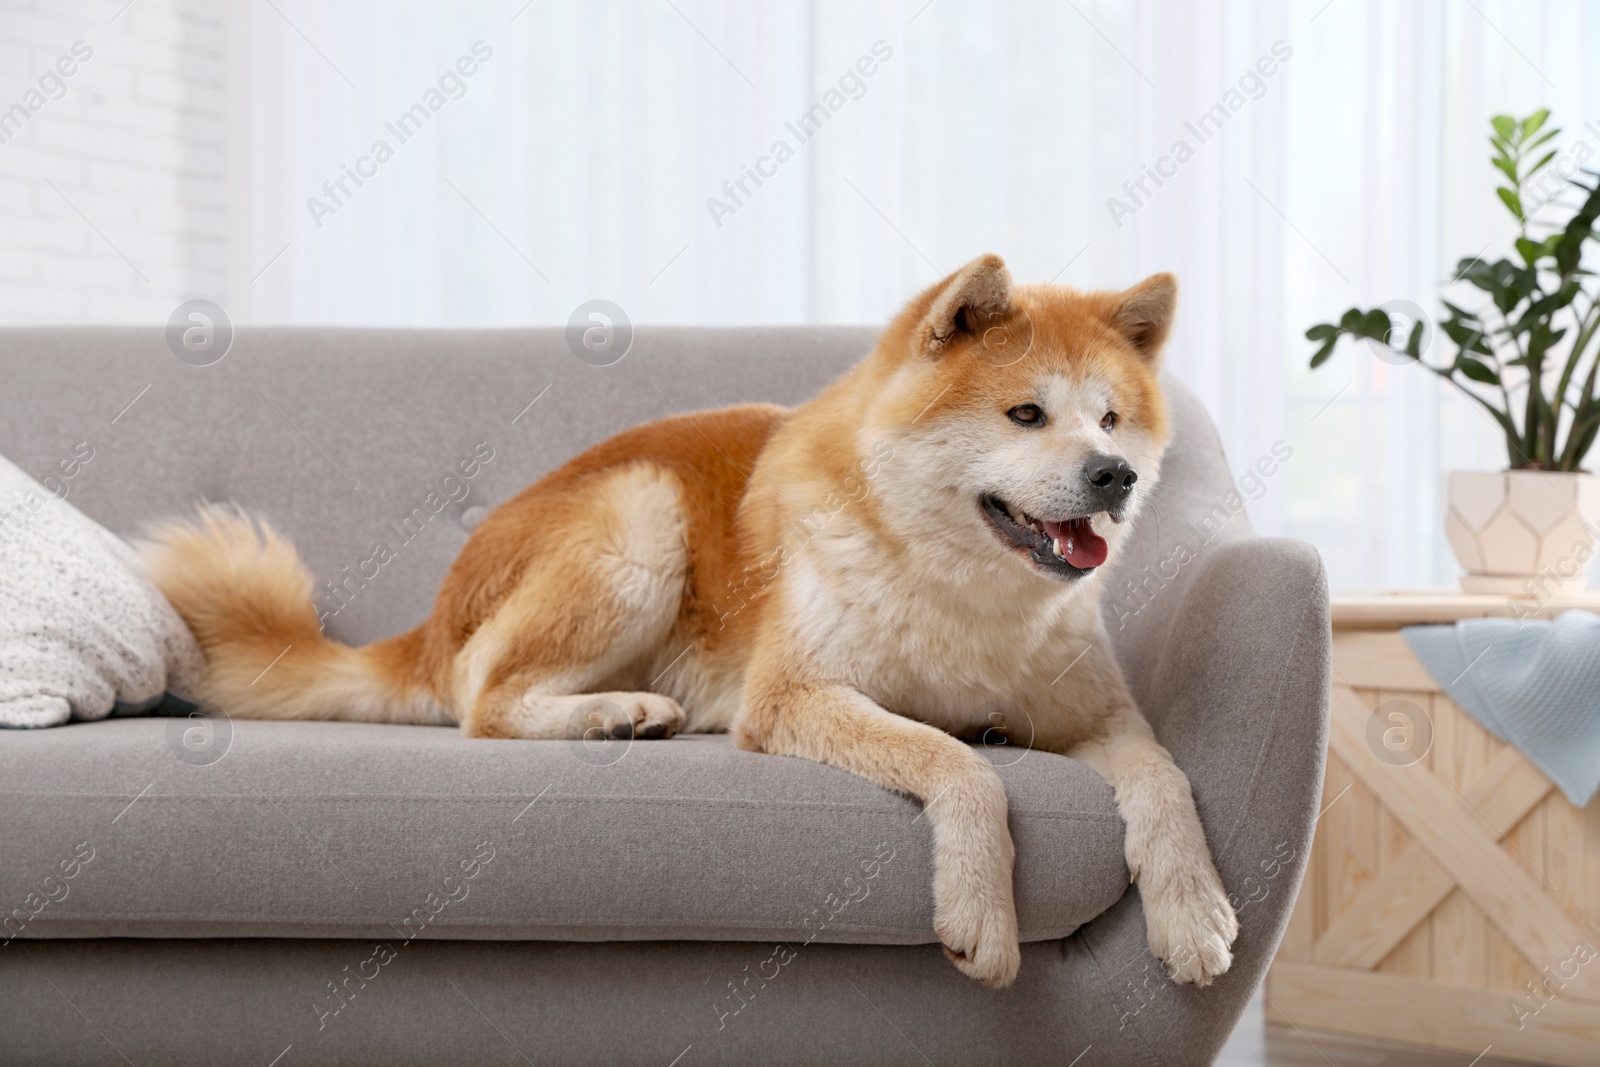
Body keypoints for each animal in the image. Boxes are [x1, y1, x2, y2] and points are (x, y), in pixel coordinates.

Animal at [140, 254, 1235, 991]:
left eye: (1110, 418)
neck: (960, 595)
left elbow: (1165, 778)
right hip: (640, 521)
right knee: (485, 704)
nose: (1116, 476)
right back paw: (612, 712)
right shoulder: (792, 695)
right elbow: (960, 763)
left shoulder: (1092, 714)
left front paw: (1189, 910)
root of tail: (437, 608)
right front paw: (979, 905)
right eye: (1024, 415)